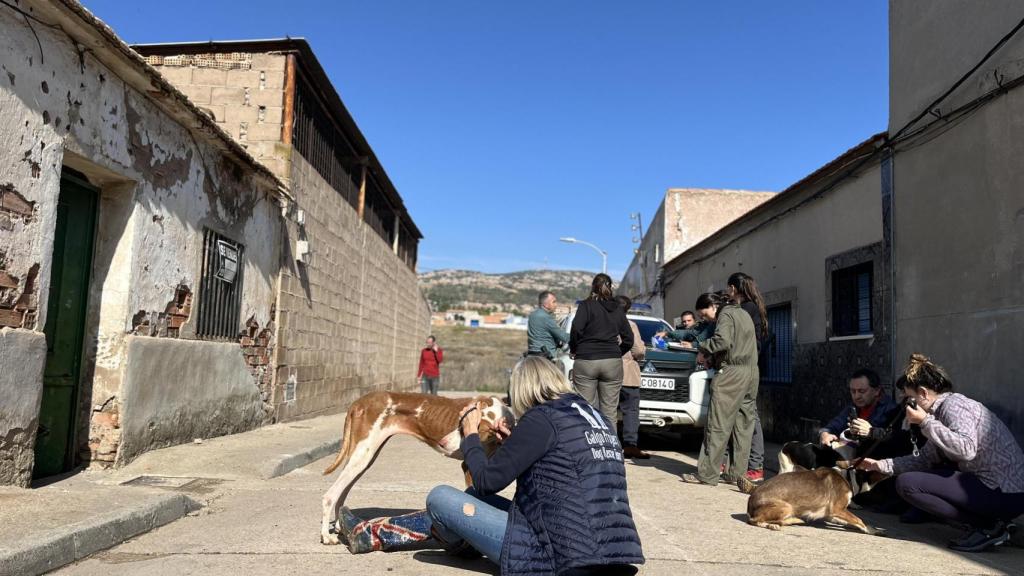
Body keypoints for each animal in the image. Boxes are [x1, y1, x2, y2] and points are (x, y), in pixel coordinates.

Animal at [317, 389, 512, 541]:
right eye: (461, 425)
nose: (442, 443)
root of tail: (358, 402)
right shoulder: (469, 468)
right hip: (363, 454)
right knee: (330, 495)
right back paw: (326, 535)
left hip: (364, 457)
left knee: (342, 491)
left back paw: (340, 526)